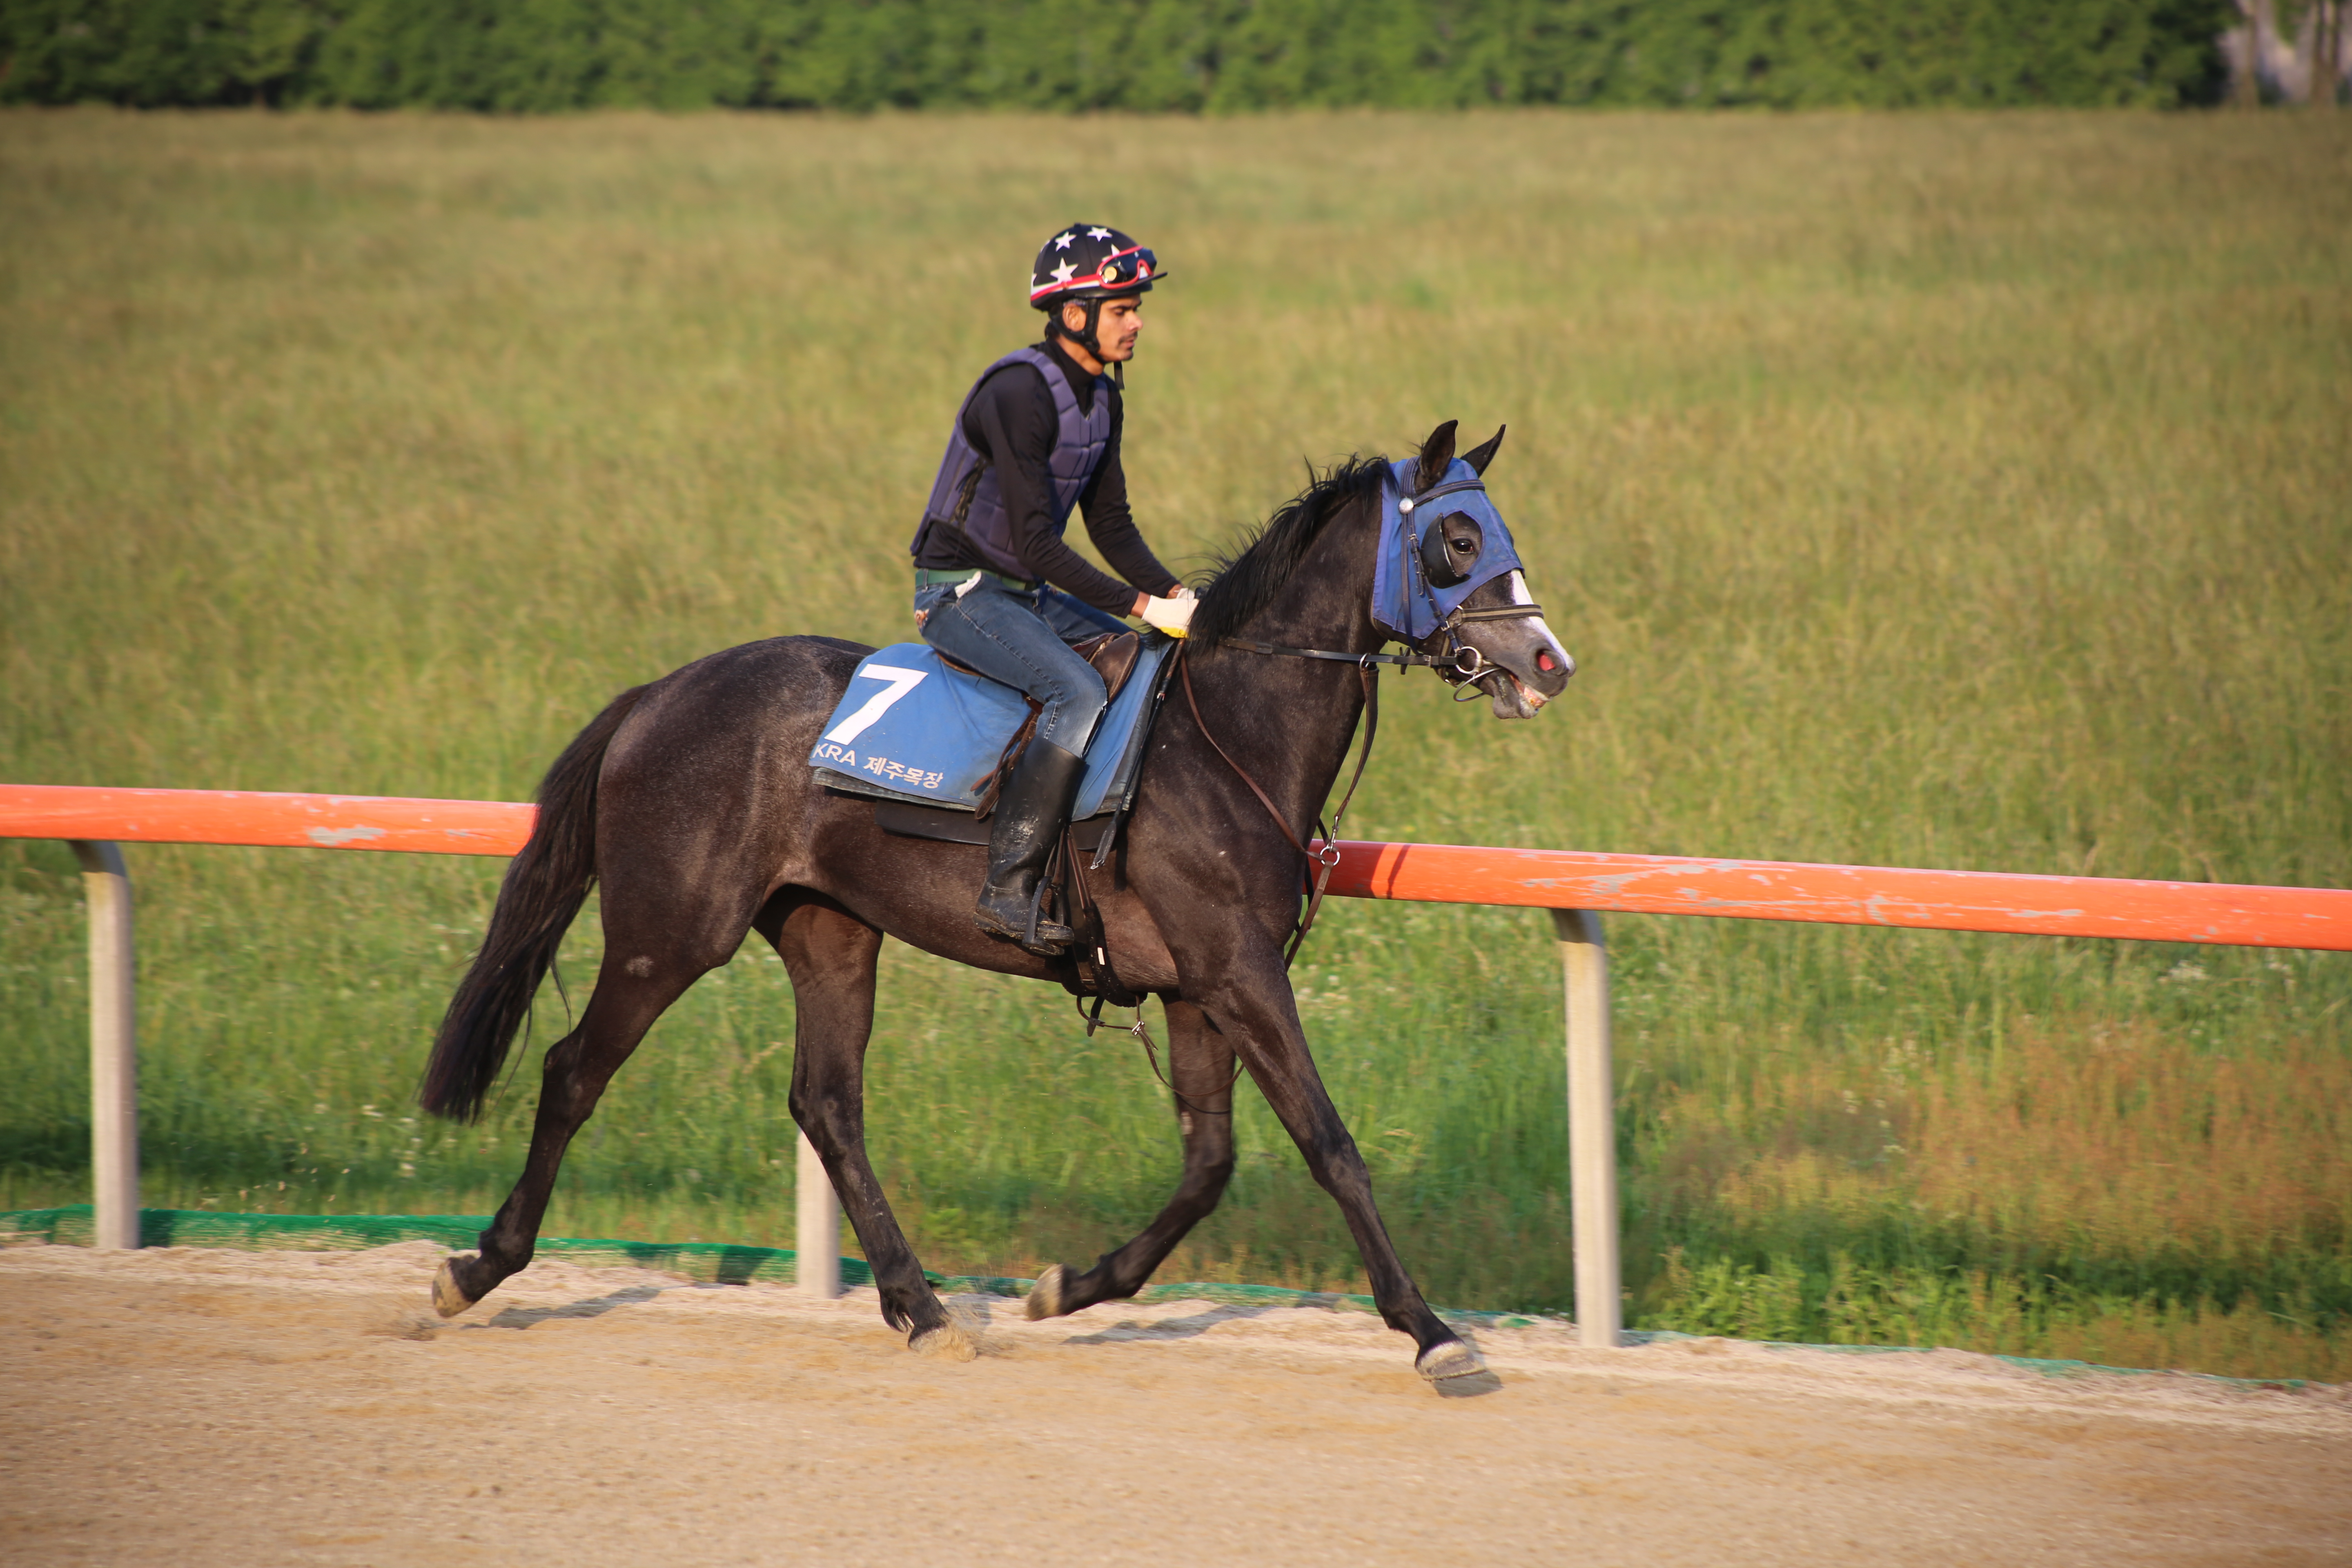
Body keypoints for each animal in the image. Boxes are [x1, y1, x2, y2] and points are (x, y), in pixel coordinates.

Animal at [419, 421, 1580, 1382]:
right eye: (1458, 539)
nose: (1549, 660)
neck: (1228, 735)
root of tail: (655, 695)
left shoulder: (1198, 986)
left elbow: (1209, 1164)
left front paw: (1069, 1286)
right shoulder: (1238, 974)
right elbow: (1329, 1145)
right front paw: (1431, 1331)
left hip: (829, 932)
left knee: (826, 1103)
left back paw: (922, 1306)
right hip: (669, 931)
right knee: (574, 1070)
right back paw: (476, 1268)